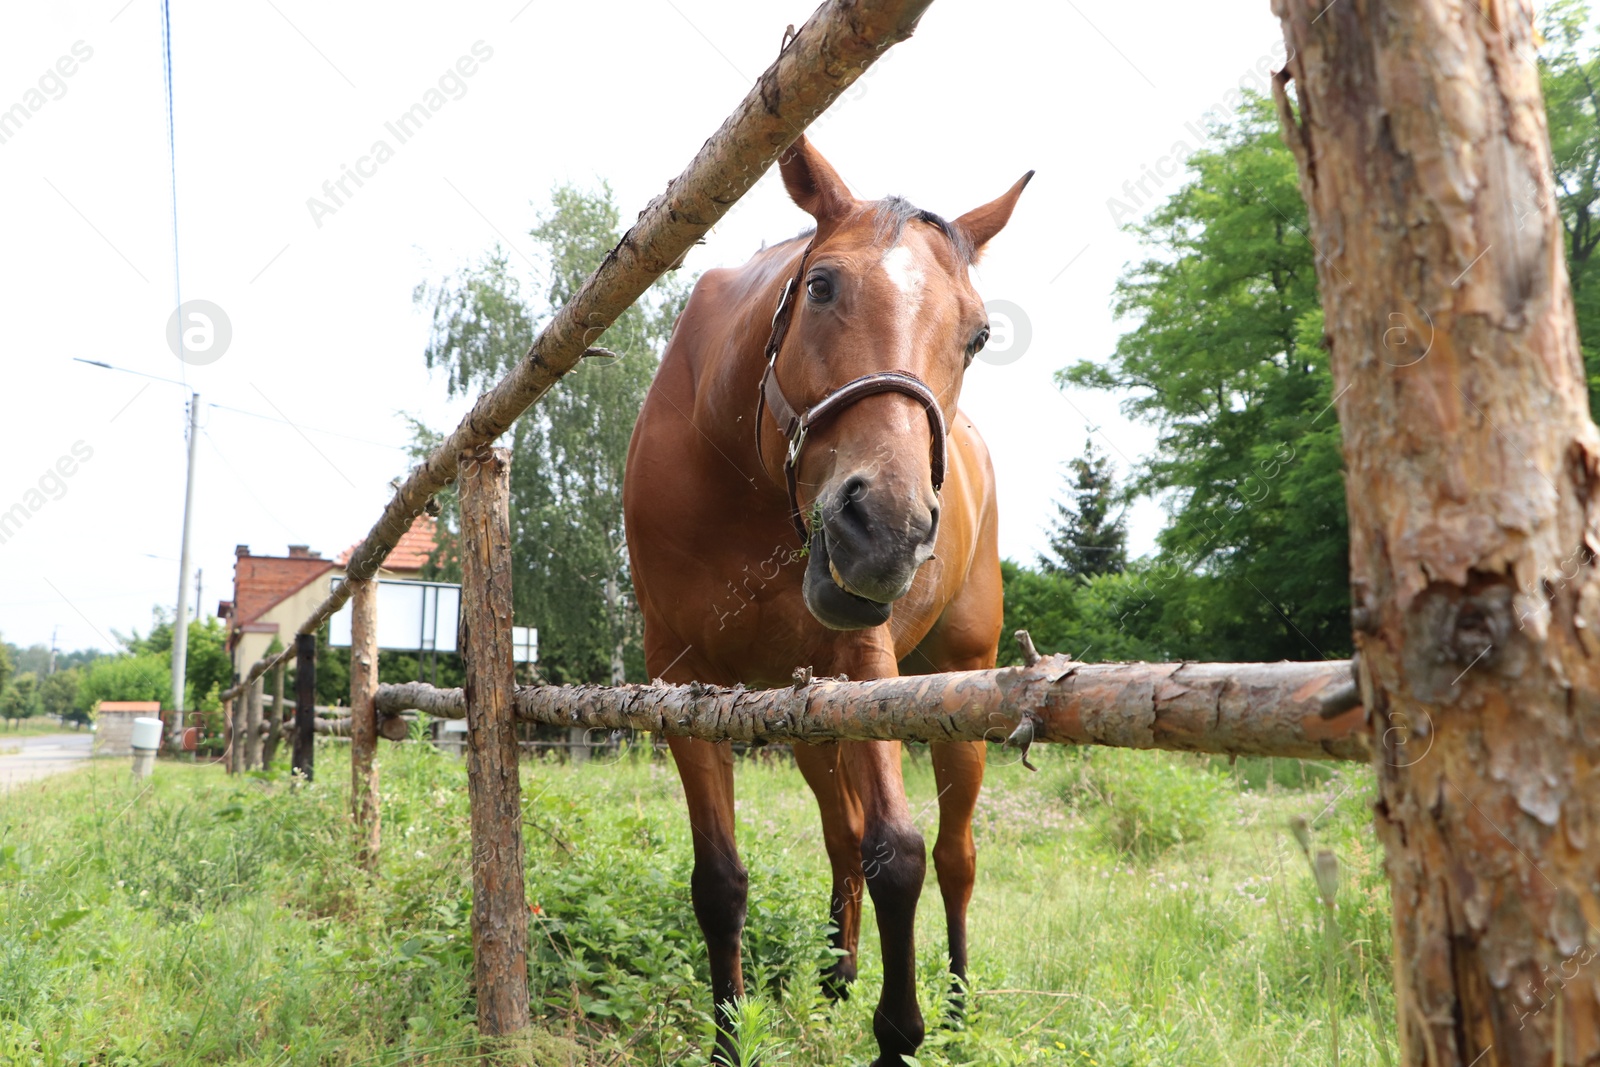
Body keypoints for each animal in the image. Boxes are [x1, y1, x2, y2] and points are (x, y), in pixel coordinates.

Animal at [617, 135, 1030, 1067]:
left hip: (956, 688)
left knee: (954, 854)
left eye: (980, 334)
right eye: (822, 285)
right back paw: (836, 970)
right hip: (811, 718)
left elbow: (899, 853)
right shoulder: (682, 679)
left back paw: (956, 1007)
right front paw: (730, 1036)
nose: (886, 529)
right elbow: (721, 879)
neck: (736, 472)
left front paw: (902, 1032)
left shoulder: (863, 661)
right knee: (840, 833)